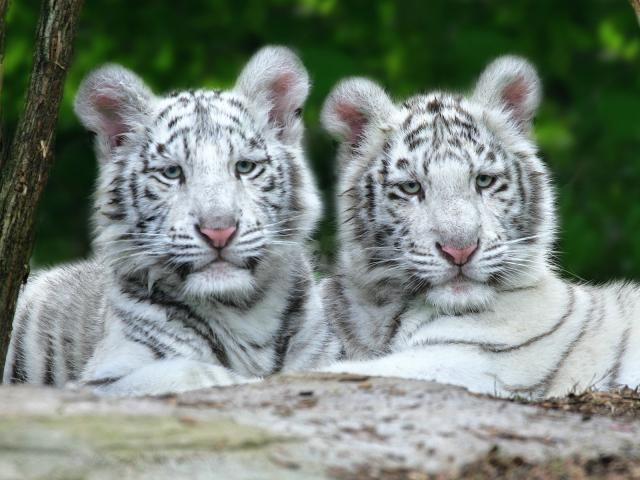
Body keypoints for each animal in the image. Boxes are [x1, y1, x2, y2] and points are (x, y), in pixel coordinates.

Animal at [3, 46, 340, 396]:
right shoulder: (103, 379)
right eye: (172, 172)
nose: (218, 231)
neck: (244, 311)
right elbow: (193, 372)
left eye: (245, 167)